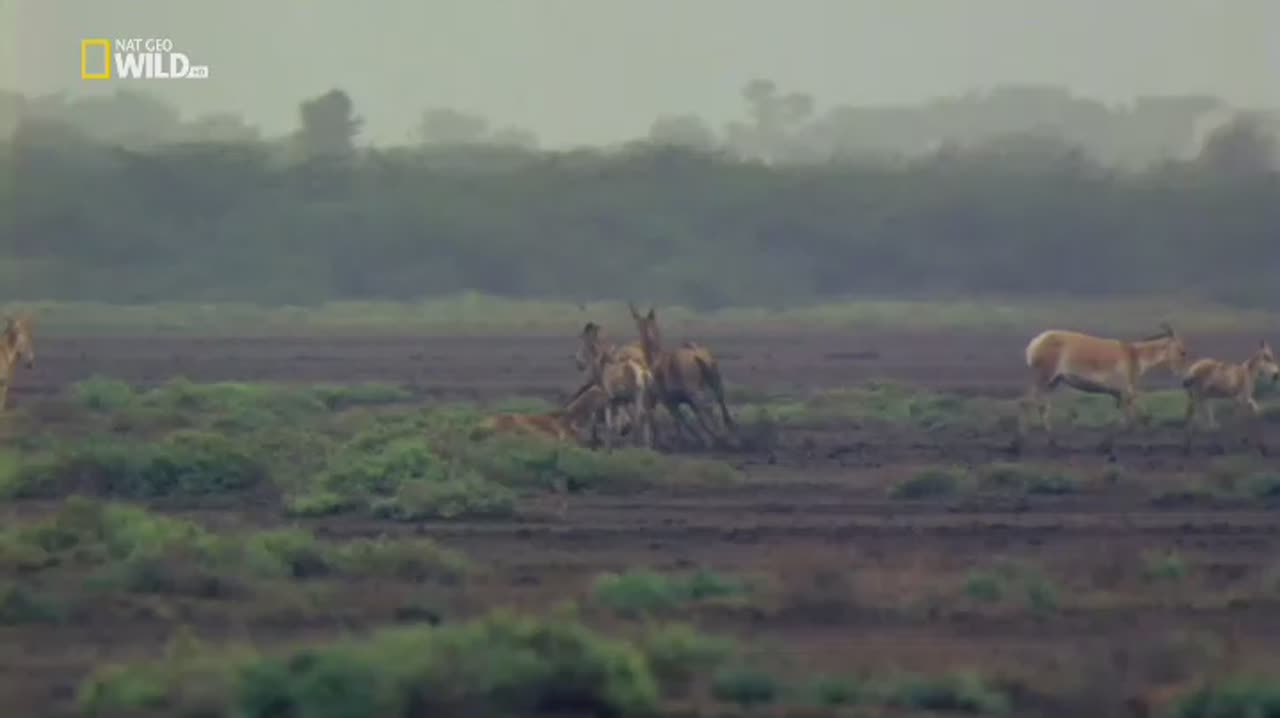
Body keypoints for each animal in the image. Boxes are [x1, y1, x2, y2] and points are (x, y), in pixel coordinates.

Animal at [574, 322, 655, 450]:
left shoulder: (609, 401)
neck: (604, 369)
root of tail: (642, 372)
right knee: (646, 416)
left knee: (639, 417)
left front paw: (608, 448)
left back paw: (634, 445)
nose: (579, 363)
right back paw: (646, 446)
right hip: (645, 398)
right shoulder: (620, 401)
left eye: (583, 342)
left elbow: (609, 424)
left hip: (637, 396)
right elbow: (618, 423)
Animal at [628, 303, 734, 448]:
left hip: (693, 391)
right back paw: (731, 438)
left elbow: (681, 421)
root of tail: (698, 355)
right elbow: (687, 420)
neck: (656, 359)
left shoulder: (669, 401)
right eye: (638, 324)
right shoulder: (679, 401)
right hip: (716, 383)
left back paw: (718, 438)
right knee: (721, 406)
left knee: (706, 409)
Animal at [1018, 322, 1188, 451]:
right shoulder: (1128, 393)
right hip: (1043, 378)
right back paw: (1019, 443)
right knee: (1027, 402)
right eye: (1182, 352)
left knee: (1043, 407)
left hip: (1052, 382)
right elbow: (1136, 419)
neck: (1133, 355)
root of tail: (1036, 342)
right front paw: (1110, 444)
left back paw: (1053, 442)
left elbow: (1131, 419)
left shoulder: (1121, 395)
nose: (1184, 379)